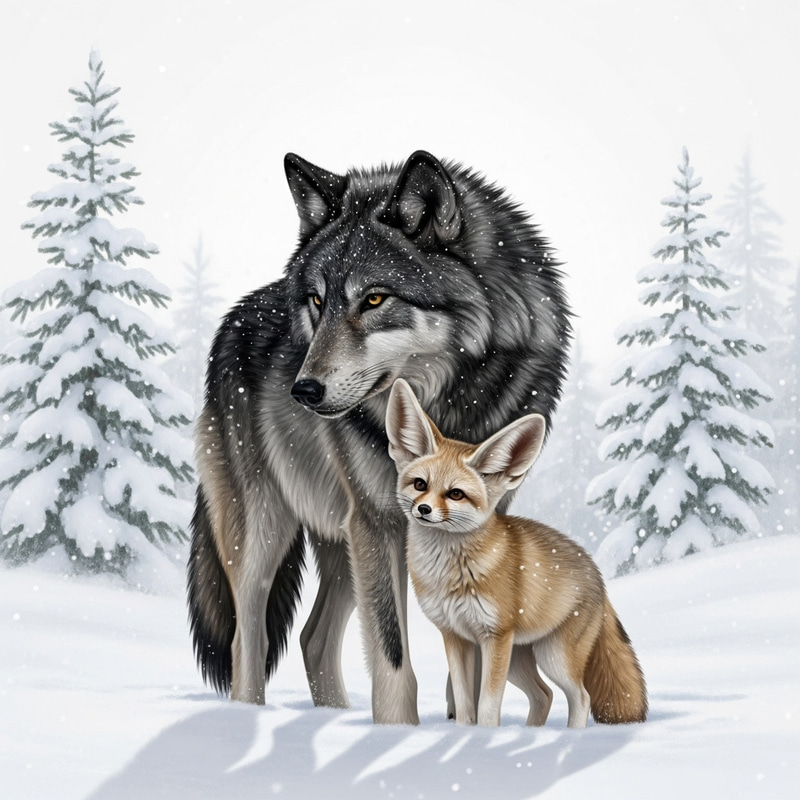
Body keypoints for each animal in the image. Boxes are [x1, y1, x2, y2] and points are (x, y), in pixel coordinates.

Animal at [187, 150, 571, 724]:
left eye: (373, 298)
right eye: (317, 301)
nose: (303, 389)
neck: (454, 403)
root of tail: (232, 321)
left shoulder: (482, 523)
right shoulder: (379, 522)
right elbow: (393, 659)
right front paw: (398, 732)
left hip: (344, 543)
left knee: (312, 639)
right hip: (266, 530)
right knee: (247, 637)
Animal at [386, 378, 647, 728]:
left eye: (455, 494)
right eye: (419, 484)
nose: (424, 510)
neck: (451, 573)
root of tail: (596, 570)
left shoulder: (494, 637)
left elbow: (487, 706)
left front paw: (486, 736)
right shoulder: (455, 637)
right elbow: (465, 705)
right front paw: (465, 734)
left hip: (551, 658)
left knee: (581, 696)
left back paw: (573, 735)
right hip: (519, 660)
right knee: (544, 695)